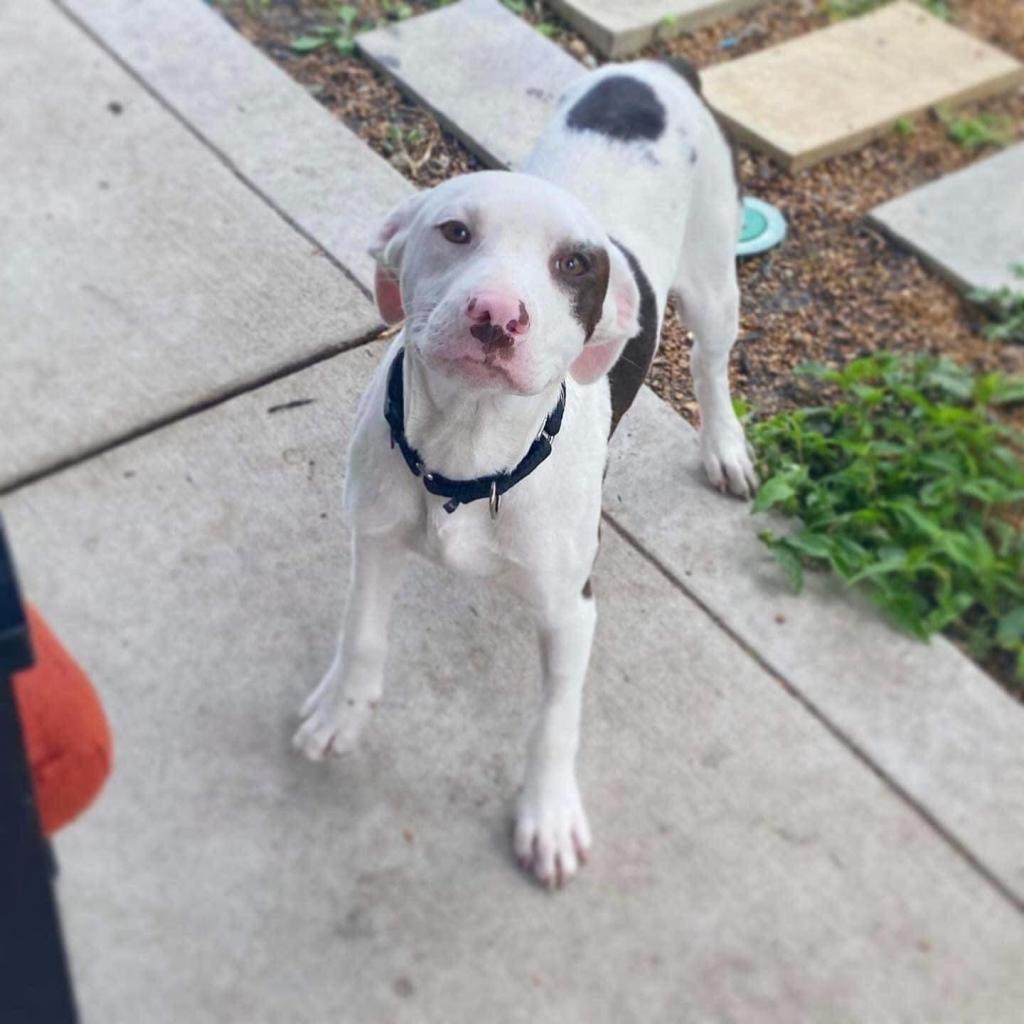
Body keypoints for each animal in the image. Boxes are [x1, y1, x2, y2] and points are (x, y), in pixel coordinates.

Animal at [292, 59, 757, 884]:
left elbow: (554, 720)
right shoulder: (373, 535)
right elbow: (364, 634)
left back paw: (724, 445)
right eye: (455, 231)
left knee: (709, 364)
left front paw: (548, 814)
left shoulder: (572, 610)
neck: (468, 450)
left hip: (713, 283)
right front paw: (343, 709)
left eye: (574, 264)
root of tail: (659, 67)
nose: (497, 315)